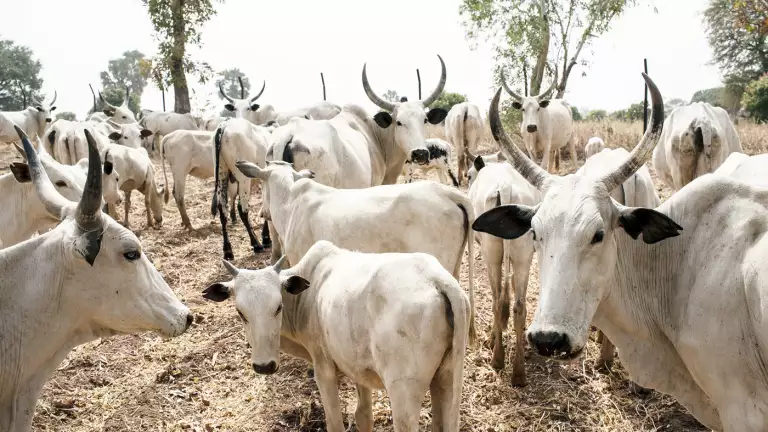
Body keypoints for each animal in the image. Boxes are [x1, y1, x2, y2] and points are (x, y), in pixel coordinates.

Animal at [203, 240, 470, 432]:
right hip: (446, 379)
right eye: (241, 313)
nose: (264, 366)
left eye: (277, 307)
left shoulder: (324, 370)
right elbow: (363, 416)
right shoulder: (359, 369)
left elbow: (335, 424)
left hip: (404, 392)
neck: (307, 295)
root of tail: (438, 280)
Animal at [211, 119, 272, 260]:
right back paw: (256, 244)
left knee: (223, 209)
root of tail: (224, 125)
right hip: (244, 179)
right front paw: (266, 238)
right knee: (242, 209)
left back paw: (228, 250)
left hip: (221, 174)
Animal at [466, 153, 539, 386]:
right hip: (523, 255)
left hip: (491, 255)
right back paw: (519, 373)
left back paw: (497, 358)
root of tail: (505, 188)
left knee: (498, 301)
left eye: (468, 175)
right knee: (519, 307)